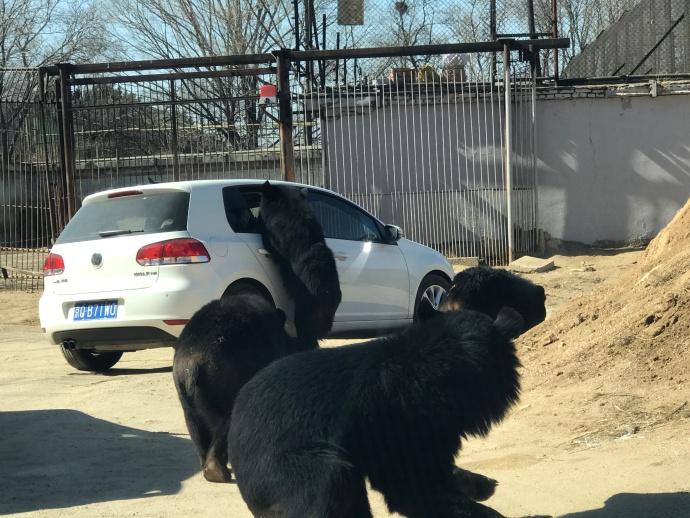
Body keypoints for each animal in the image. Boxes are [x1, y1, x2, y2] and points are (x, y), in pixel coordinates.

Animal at [172, 293, 314, 484]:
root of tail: (191, 365)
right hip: (222, 383)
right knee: (225, 421)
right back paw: (218, 470)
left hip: (185, 393)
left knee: (195, 425)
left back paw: (208, 466)